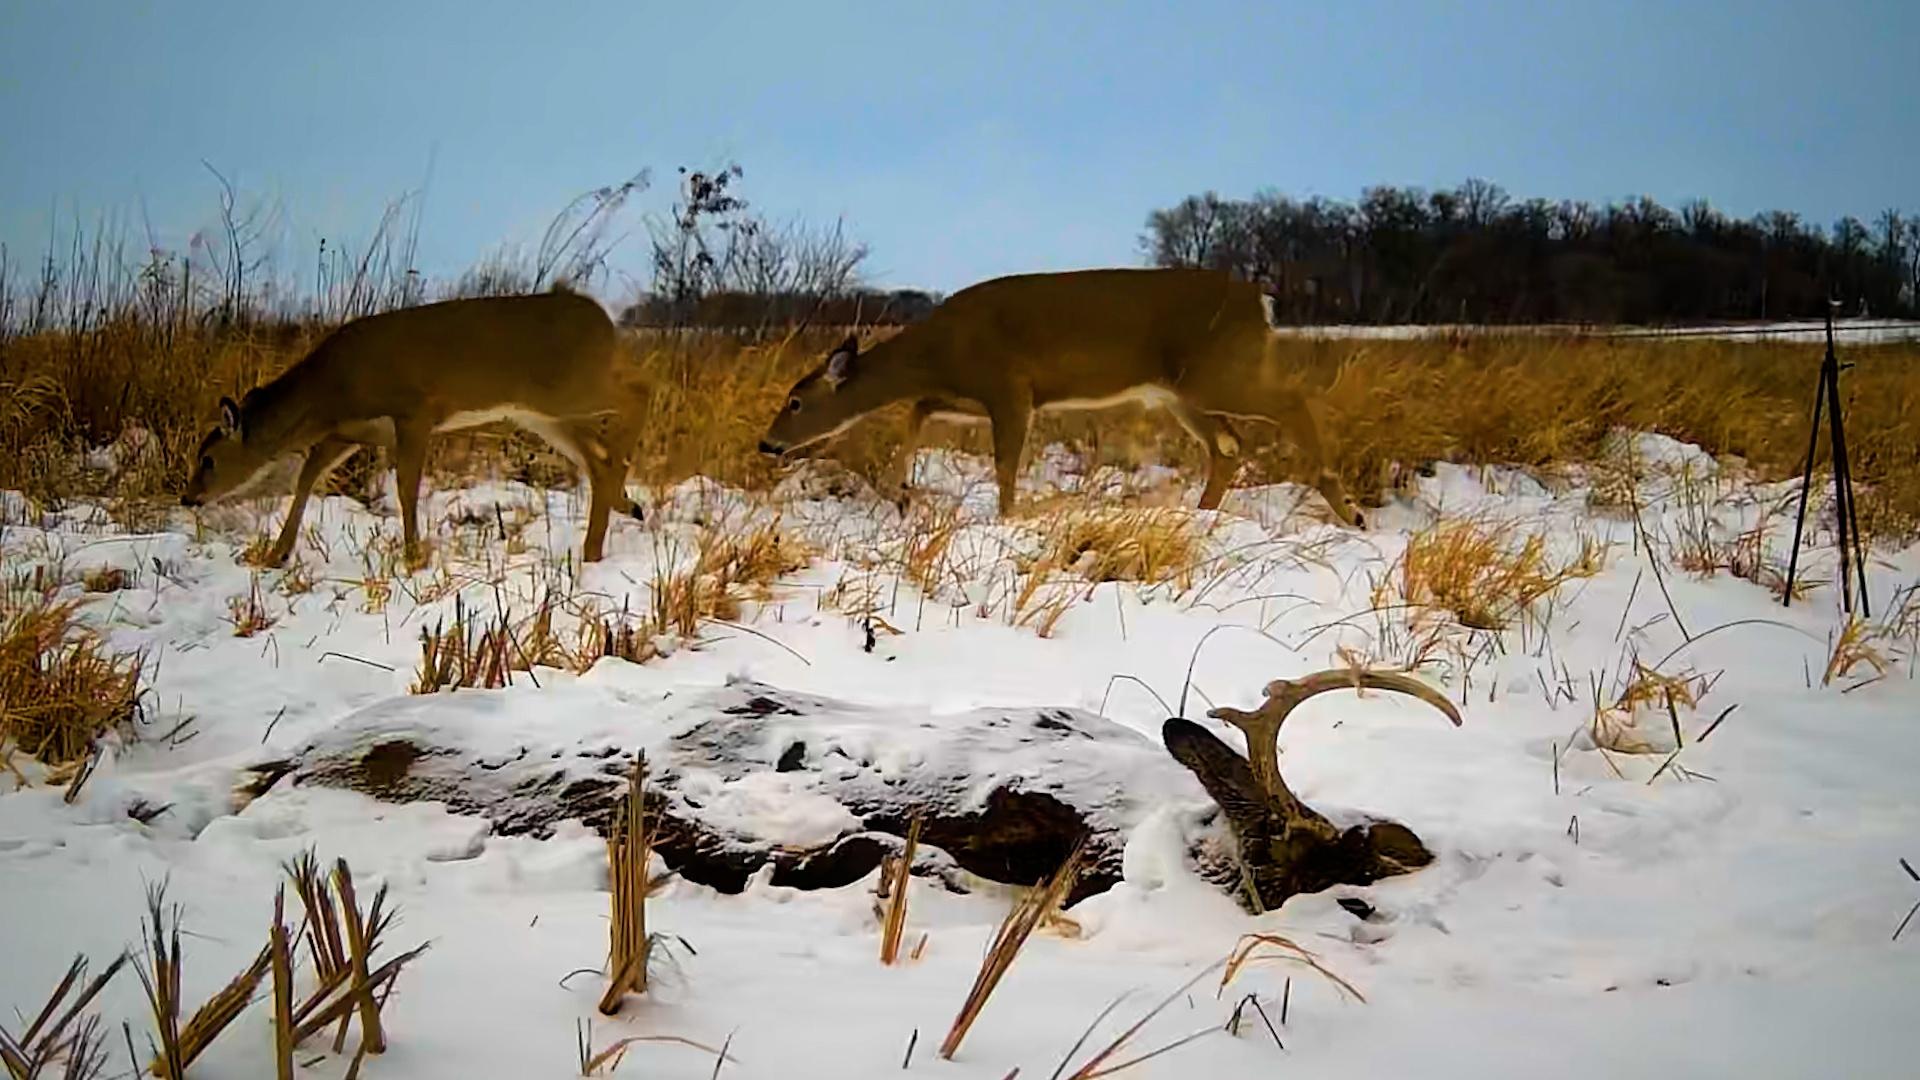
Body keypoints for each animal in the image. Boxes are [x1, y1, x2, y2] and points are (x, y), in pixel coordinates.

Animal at [187, 290, 652, 568]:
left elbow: (406, 486)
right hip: (539, 413)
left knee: (638, 391)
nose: (189, 497)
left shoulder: (413, 410)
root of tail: (600, 316)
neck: (328, 389)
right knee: (597, 458)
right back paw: (611, 523)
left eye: (208, 459)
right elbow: (308, 475)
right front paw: (277, 554)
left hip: (571, 390)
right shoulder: (352, 430)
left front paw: (413, 557)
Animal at [752, 267, 1367, 522]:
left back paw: (1347, 506)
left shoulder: (1009, 386)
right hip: (1181, 392)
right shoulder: (968, 394)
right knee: (1228, 447)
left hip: (1218, 372)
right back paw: (1202, 517)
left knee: (1291, 402)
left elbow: (1005, 464)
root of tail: (1261, 303)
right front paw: (900, 490)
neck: (939, 351)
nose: (767, 444)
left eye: (796, 402)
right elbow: (919, 410)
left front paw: (1007, 519)